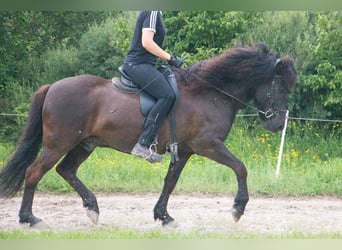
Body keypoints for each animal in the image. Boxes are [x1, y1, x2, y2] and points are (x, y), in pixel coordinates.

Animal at [0, 43, 296, 227]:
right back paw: (28, 218)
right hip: (59, 143)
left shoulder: (184, 150)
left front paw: (163, 216)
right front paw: (237, 209)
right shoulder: (208, 145)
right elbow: (241, 168)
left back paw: (92, 208)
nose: (278, 124)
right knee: (34, 172)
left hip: (84, 144)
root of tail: (52, 87)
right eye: (281, 87)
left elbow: (170, 182)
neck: (210, 92)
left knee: (66, 170)